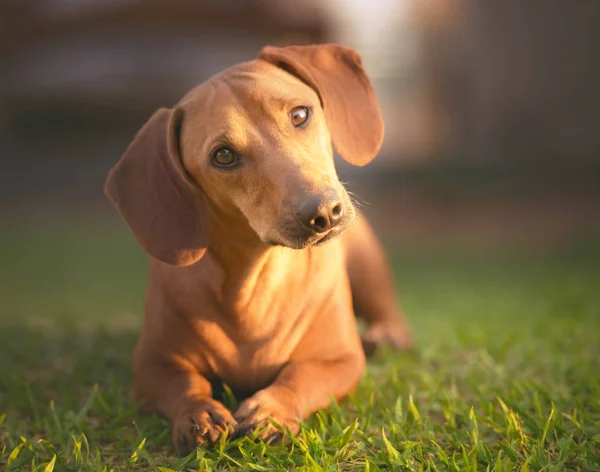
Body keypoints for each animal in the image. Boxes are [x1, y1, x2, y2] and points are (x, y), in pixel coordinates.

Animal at [104, 43, 412, 454]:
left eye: (300, 114)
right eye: (223, 155)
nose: (323, 213)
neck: (253, 282)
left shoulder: (339, 360)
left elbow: (301, 377)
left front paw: (272, 410)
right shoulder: (154, 364)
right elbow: (185, 384)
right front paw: (198, 413)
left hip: (367, 267)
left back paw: (386, 337)